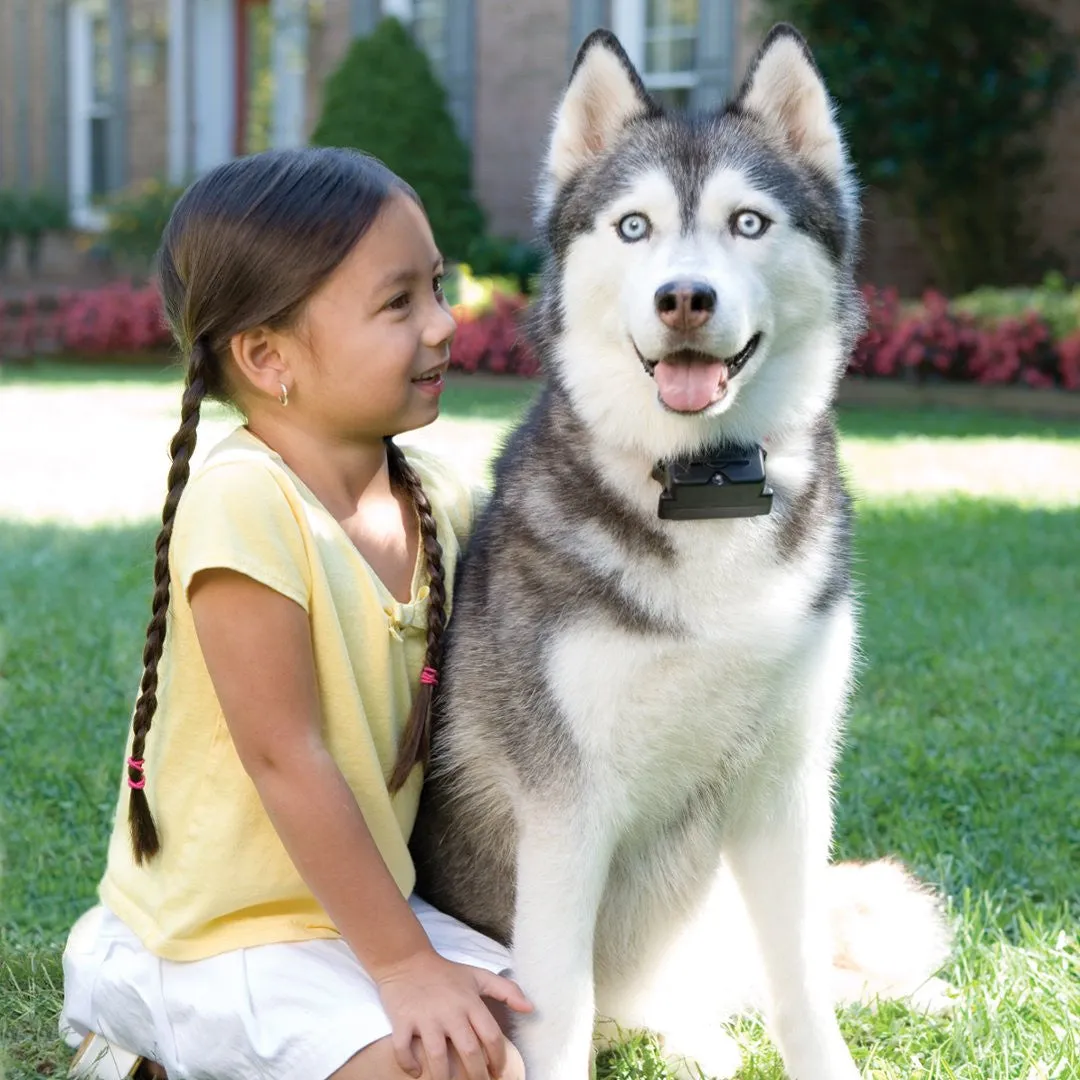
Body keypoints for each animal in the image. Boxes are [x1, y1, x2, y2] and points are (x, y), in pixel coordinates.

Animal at [412, 25, 954, 1080]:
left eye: (748, 223)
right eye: (634, 227)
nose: (684, 298)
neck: (706, 490)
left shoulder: (788, 789)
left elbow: (802, 985)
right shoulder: (566, 808)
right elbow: (562, 1007)